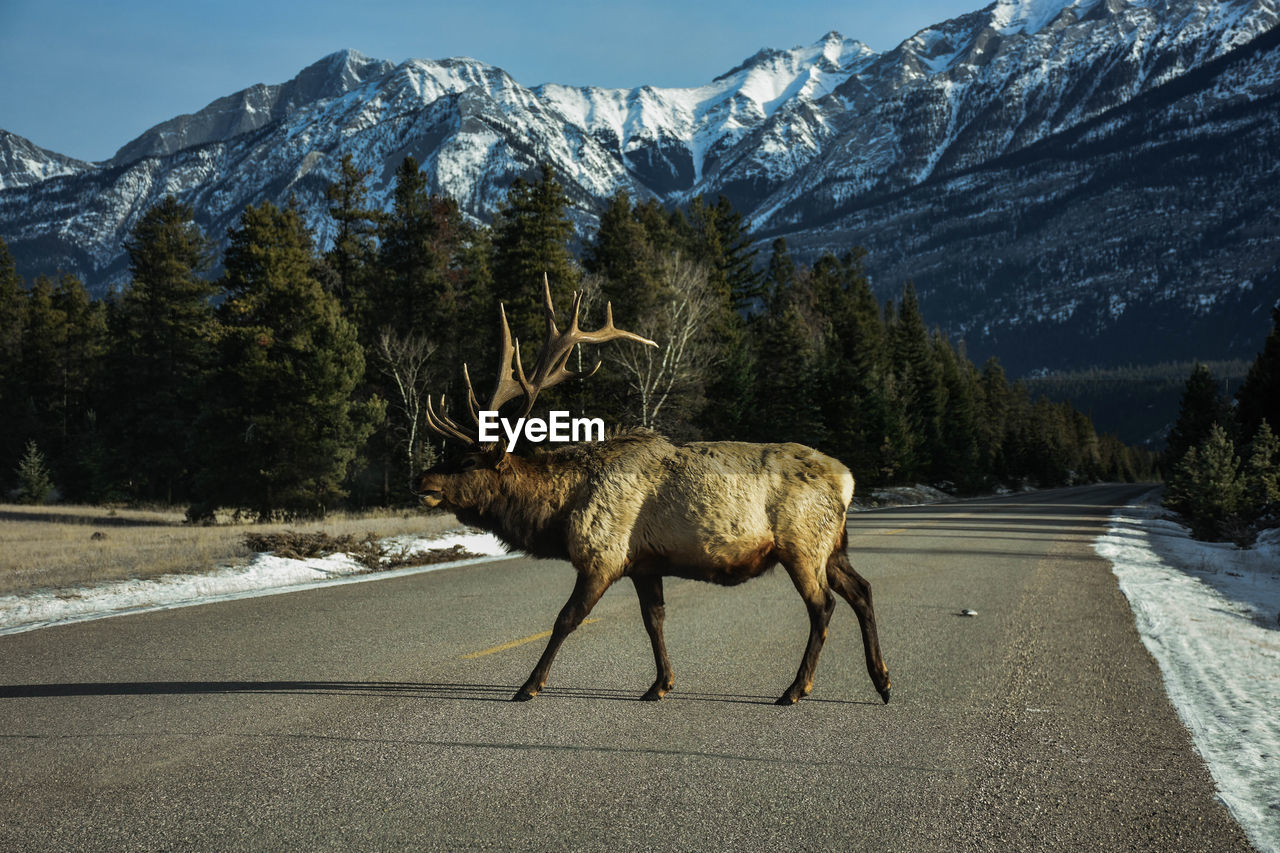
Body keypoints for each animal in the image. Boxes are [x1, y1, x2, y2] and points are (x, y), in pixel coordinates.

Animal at [414, 279, 896, 701]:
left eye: (467, 461)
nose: (422, 481)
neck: (560, 512)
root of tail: (847, 480)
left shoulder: (603, 556)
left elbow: (566, 620)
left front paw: (529, 685)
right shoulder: (645, 564)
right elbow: (654, 620)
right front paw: (660, 684)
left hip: (802, 544)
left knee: (824, 605)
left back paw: (796, 689)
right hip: (832, 546)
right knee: (862, 590)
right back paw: (883, 681)